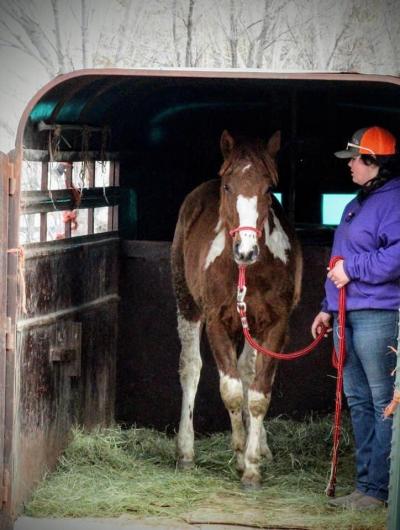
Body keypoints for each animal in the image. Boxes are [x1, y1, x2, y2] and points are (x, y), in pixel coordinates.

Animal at [170, 130, 302, 484]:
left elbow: (257, 392)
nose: (246, 250)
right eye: (228, 186)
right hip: (187, 303)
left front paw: (253, 462)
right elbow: (229, 391)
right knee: (191, 367)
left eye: (268, 189)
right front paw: (241, 453)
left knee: (247, 372)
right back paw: (185, 451)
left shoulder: (275, 325)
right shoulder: (216, 321)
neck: (245, 270)